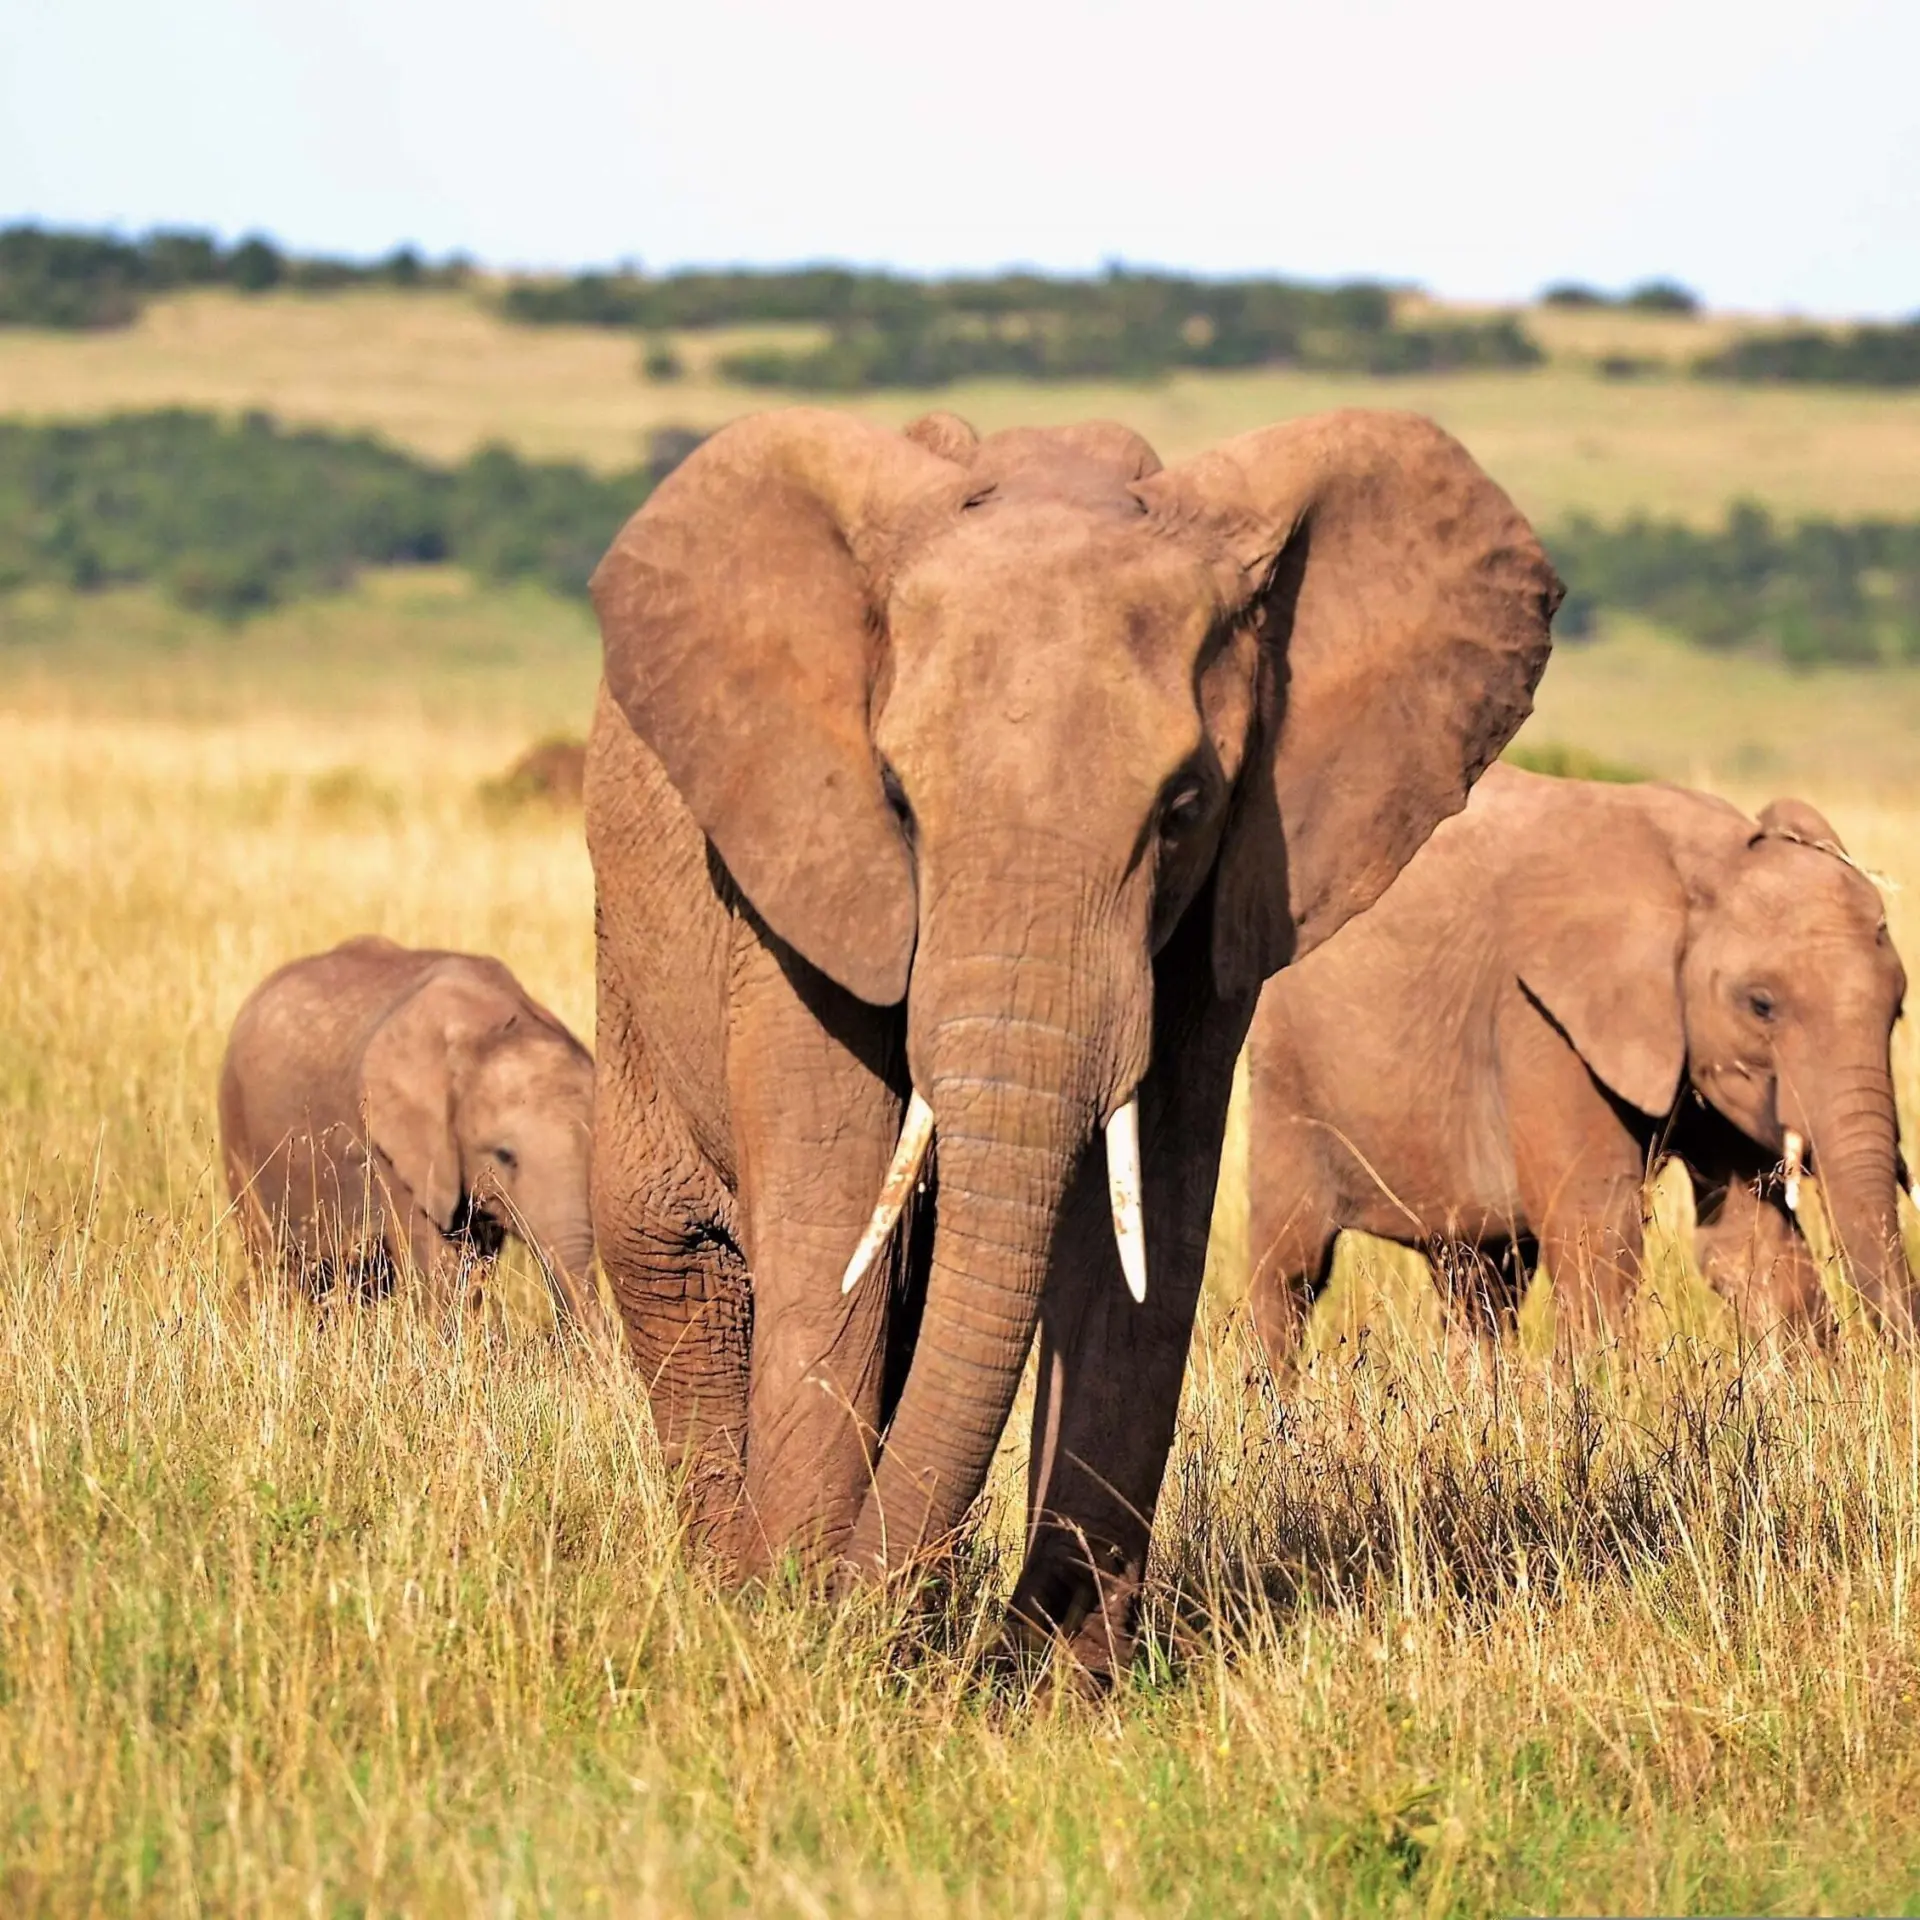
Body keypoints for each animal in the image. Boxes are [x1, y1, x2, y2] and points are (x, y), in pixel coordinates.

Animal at [585, 403, 1559, 1676]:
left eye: (1183, 806)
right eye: (895, 799)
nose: (861, 1612)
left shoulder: (1218, 910)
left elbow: (1144, 1233)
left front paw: (1048, 1682)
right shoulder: (797, 877)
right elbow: (833, 1209)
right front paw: (799, 1634)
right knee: (680, 1257)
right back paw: (731, 1592)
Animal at [1244, 764, 1914, 1362]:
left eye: (1899, 1009)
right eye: (1762, 1005)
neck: (1703, 859)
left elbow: (1750, 1243)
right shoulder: (1538, 1015)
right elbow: (1599, 1232)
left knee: (1480, 1280)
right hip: (1285, 1069)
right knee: (1292, 1268)